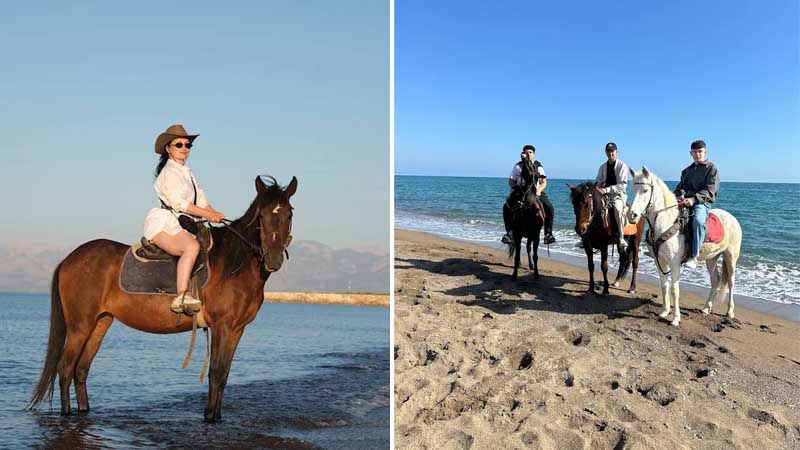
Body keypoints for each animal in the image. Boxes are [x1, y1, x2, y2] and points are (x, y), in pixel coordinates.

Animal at [28, 175, 297, 422]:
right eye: (260, 216)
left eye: (289, 215)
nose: (273, 259)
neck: (234, 263)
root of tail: (69, 259)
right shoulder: (222, 327)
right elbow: (216, 373)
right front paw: (209, 417)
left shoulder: (236, 330)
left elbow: (223, 376)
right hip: (79, 326)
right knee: (65, 369)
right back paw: (66, 415)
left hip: (100, 322)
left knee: (81, 370)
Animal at [627, 167, 742, 327]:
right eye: (632, 189)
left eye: (645, 190)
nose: (632, 215)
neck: (667, 222)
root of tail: (732, 218)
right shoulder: (659, 261)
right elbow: (664, 286)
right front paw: (664, 311)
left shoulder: (675, 264)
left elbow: (675, 290)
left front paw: (675, 319)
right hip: (711, 258)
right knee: (716, 280)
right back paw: (706, 308)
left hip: (731, 257)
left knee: (731, 282)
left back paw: (730, 312)